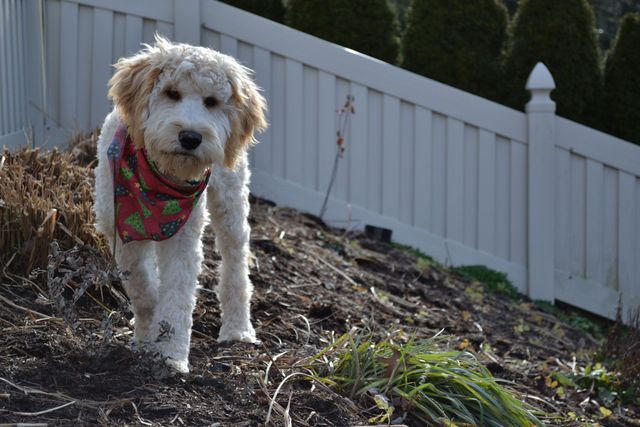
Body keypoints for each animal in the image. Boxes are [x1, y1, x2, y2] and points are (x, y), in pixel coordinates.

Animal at [92, 36, 264, 374]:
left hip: (230, 199)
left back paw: (238, 329)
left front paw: (170, 354)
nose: (191, 137)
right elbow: (143, 288)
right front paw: (146, 336)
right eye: (171, 93)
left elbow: (177, 294)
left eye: (211, 101)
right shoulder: (120, 231)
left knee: (236, 264)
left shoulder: (183, 236)